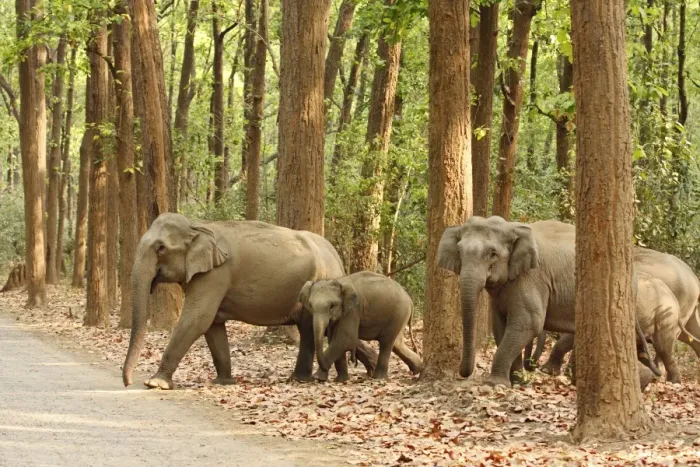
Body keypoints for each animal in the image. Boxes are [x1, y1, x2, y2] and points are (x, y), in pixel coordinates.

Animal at [121, 213, 378, 389]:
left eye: (161, 248)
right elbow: (212, 325)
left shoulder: (215, 275)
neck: (198, 226)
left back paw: (304, 379)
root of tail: (337, 257)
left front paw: (155, 383)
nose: (128, 382)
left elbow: (197, 319)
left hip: (319, 284)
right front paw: (223, 382)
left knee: (312, 329)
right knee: (312, 330)